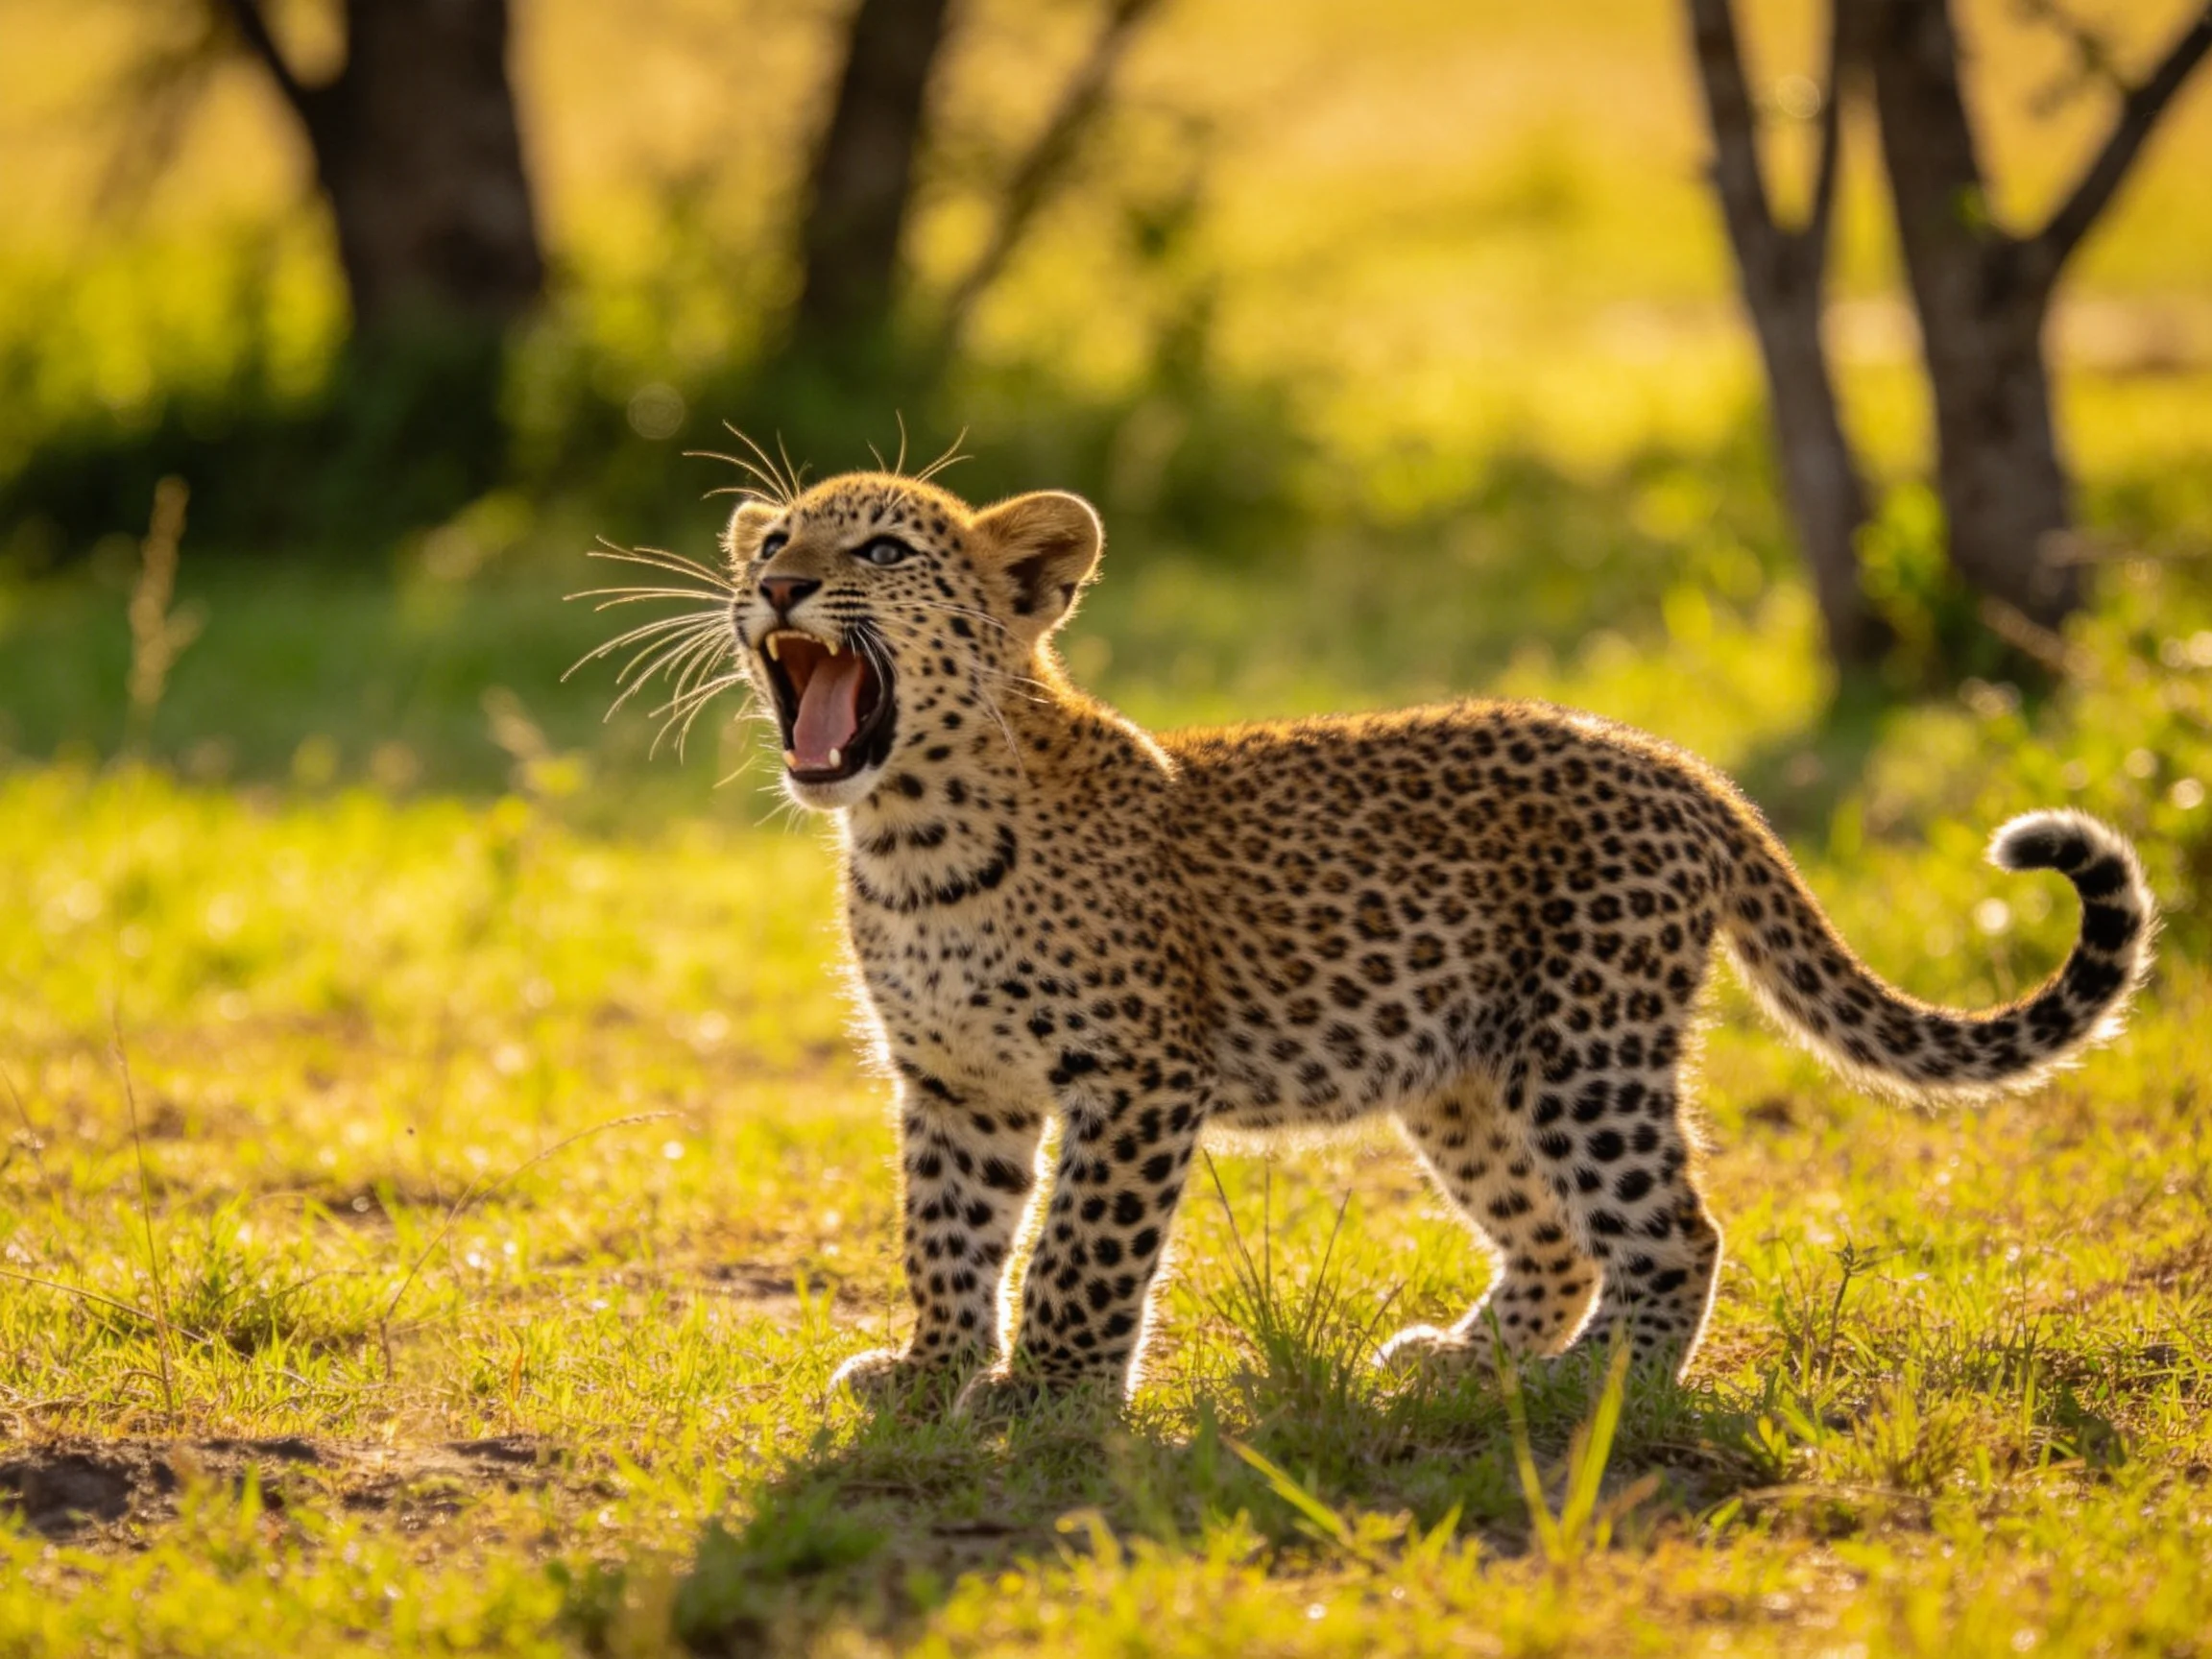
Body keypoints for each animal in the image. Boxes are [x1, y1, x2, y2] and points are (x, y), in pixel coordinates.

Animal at [707, 467, 2155, 1415]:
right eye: (774, 534)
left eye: (882, 551)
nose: (777, 582)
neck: (910, 838)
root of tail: (1684, 769)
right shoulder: (955, 1083)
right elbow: (945, 1229)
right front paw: (932, 1368)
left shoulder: (1136, 1076)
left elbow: (1078, 1250)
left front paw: (1045, 1396)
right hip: (1468, 1078)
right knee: (1556, 1236)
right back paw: (1470, 1365)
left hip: (1589, 1049)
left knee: (1672, 1230)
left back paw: (1597, 1389)